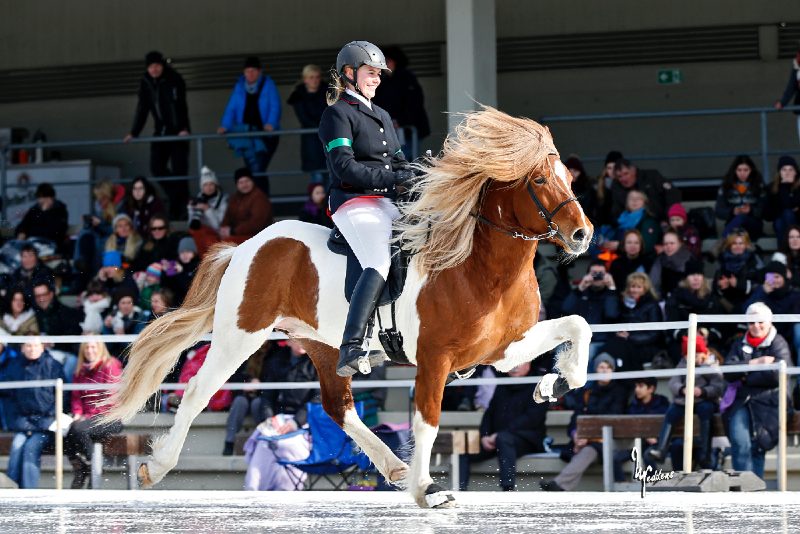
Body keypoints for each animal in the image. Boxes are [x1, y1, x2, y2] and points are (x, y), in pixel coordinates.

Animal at [103, 105, 592, 510]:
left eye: (570, 176)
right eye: (541, 180)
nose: (582, 235)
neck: (478, 265)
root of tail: (247, 245)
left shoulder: (503, 350)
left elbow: (578, 326)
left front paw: (553, 383)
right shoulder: (435, 358)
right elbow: (427, 420)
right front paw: (428, 490)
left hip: (322, 345)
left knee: (338, 407)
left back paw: (393, 466)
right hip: (238, 337)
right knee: (197, 391)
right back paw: (157, 466)